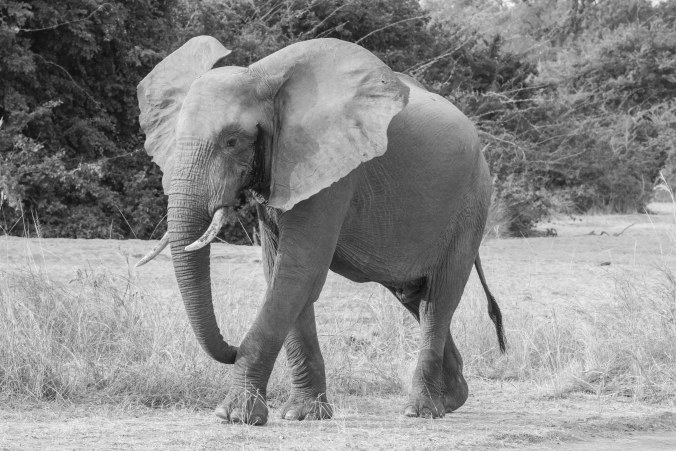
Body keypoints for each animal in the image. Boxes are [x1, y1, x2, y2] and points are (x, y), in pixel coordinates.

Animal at [135, 36, 505, 425]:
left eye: (232, 141)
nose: (232, 347)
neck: (263, 79)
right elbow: (281, 273)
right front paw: (303, 415)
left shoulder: (332, 171)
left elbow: (298, 270)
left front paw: (233, 415)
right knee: (415, 297)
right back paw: (453, 397)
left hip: (471, 203)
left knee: (438, 300)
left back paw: (421, 410)